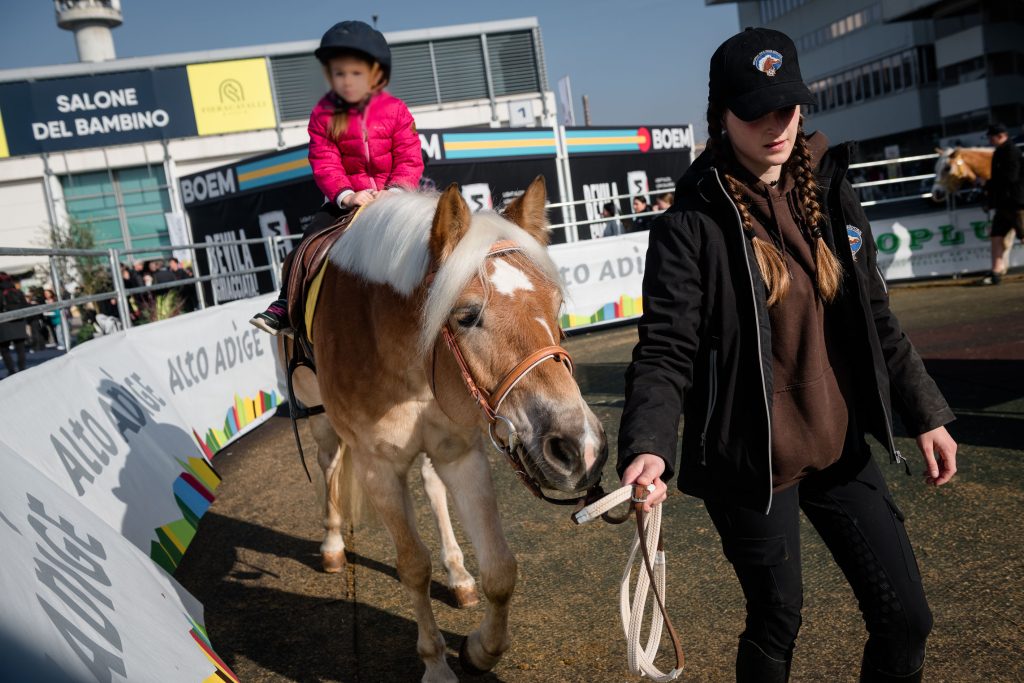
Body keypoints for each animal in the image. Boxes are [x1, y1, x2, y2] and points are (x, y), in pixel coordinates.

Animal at [286, 178, 608, 682]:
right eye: (467, 315)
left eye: (555, 305)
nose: (581, 447)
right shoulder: (379, 467)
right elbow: (413, 568)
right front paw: (436, 664)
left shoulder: (460, 452)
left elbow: (500, 568)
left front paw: (480, 650)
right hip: (319, 422)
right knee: (330, 467)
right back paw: (334, 545)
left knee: (432, 487)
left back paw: (457, 574)